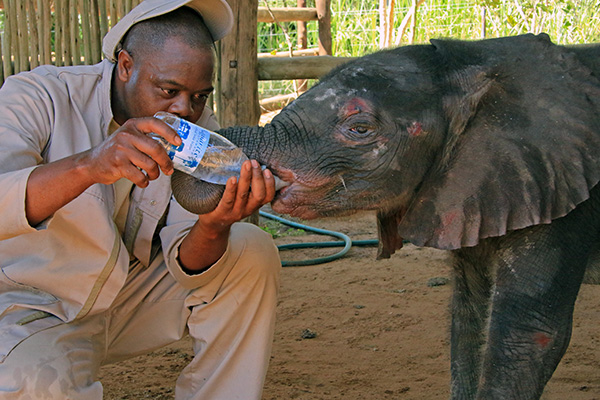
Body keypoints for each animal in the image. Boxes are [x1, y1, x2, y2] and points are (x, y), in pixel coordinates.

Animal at [173, 34, 600, 400]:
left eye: (359, 128)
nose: (195, 143)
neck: (473, 62)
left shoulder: (560, 189)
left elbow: (528, 334)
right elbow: (468, 317)